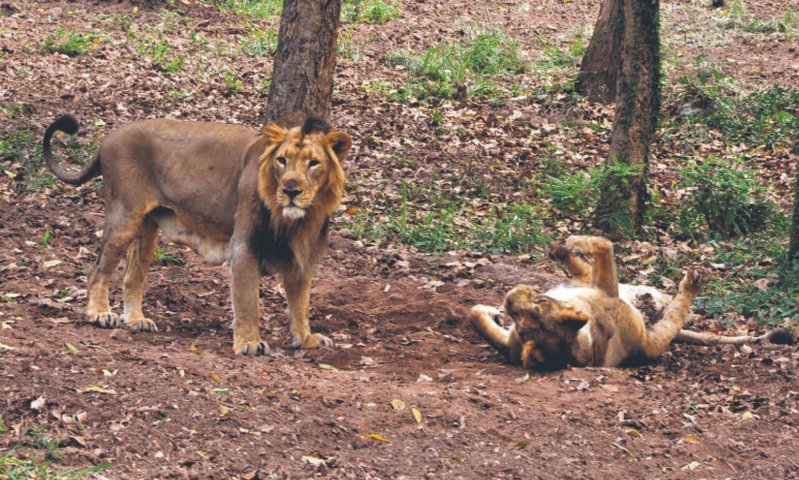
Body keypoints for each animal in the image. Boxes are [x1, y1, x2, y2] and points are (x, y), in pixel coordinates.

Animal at [42, 112, 352, 355]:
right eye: (282, 160)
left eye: (313, 163)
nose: (290, 190)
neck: (296, 222)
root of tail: (109, 137)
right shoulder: (243, 247)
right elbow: (248, 301)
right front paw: (249, 343)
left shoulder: (302, 255)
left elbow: (300, 303)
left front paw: (306, 338)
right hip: (124, 218)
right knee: (97, 270)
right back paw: (99, 314)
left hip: (147, 228)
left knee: (132, 277)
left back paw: (136, 320)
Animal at [470, 235, 793, 369]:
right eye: (521, 321)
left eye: (538, 300)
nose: (509, 298)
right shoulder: (606, 289)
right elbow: (604, 244)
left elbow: (475, 317)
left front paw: (491, 312)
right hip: (649, 335)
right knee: (675, 314)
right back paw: (694, 279)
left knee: (582, 269)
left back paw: (560, 250)